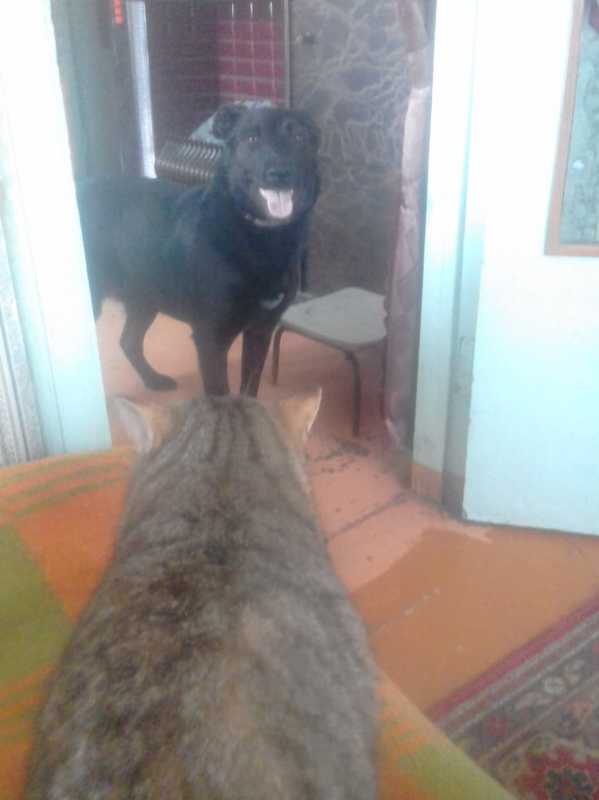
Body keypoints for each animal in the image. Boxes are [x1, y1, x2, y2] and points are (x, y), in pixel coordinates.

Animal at [78, 104, 320, 396]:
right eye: (252, 138)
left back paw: (153, 380)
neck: (261, 235)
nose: (280, 173)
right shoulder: (211, 340)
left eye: (299, 138)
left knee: (129, 341)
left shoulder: (261, 330)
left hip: (145, 296)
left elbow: (249, 389)